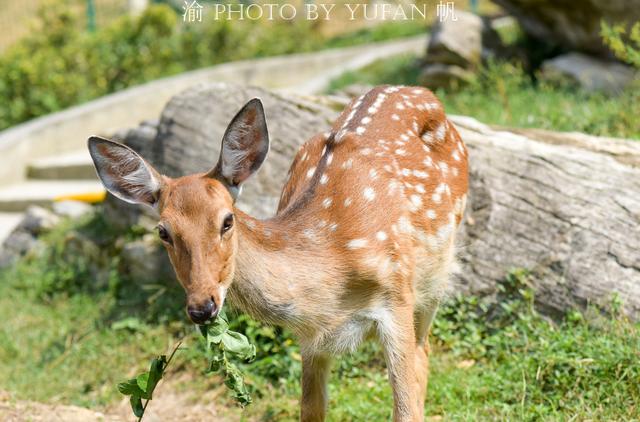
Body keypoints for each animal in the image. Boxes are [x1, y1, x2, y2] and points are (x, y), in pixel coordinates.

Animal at [87, 84, 468, 420]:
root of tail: (420, 91)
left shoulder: (396, 296)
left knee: (422, 355)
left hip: (435, 274)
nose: (201, 307)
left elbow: (405, 406)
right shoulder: (311, 339)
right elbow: (310, 411)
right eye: (164, 232)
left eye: (227, 220)